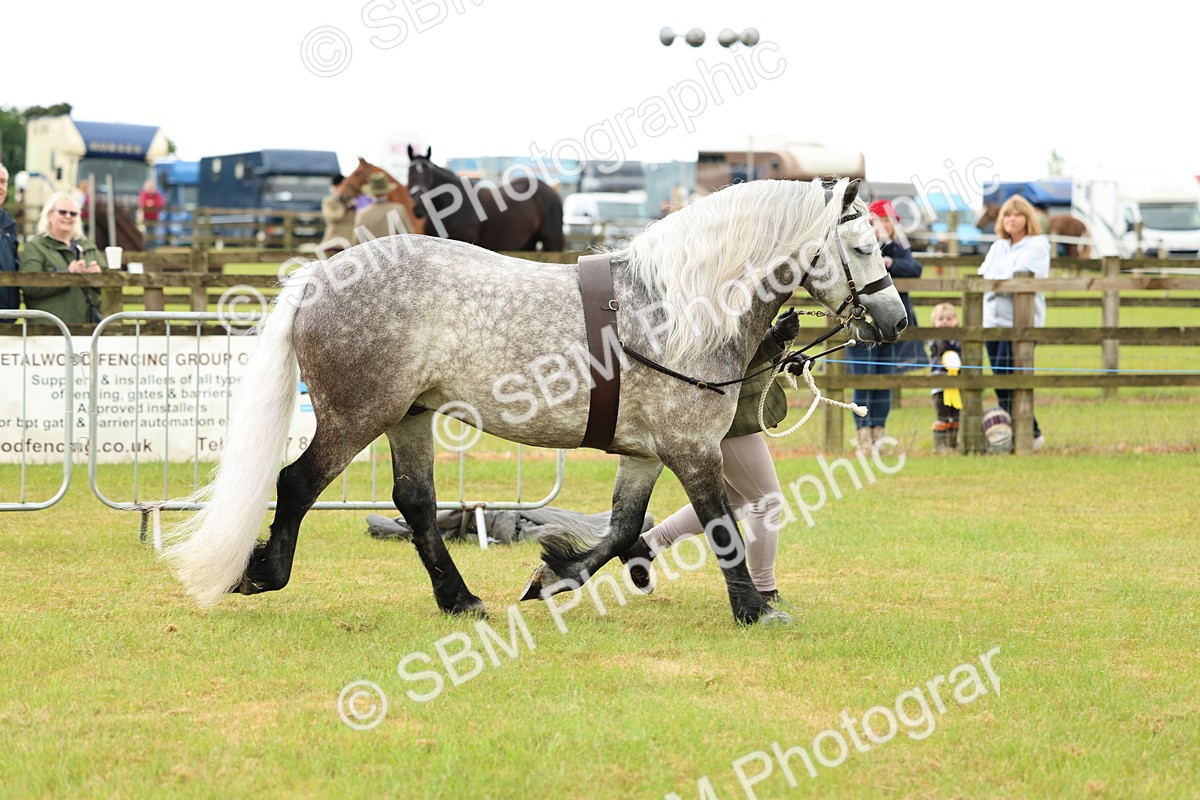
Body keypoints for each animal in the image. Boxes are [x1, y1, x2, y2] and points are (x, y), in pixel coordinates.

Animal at [161, 178, 907, 626]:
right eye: (861, 246)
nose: (896, 321)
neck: (675, 307)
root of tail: (320, 274)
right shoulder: (693, 450)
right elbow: (720, 526)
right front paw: (755, 610)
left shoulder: (646, 454)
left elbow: (622, 527)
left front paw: (554, 577)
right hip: (356, 416)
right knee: (297, 483)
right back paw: (263, 572)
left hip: (410, 417)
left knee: (416, 504)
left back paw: (460, 599)